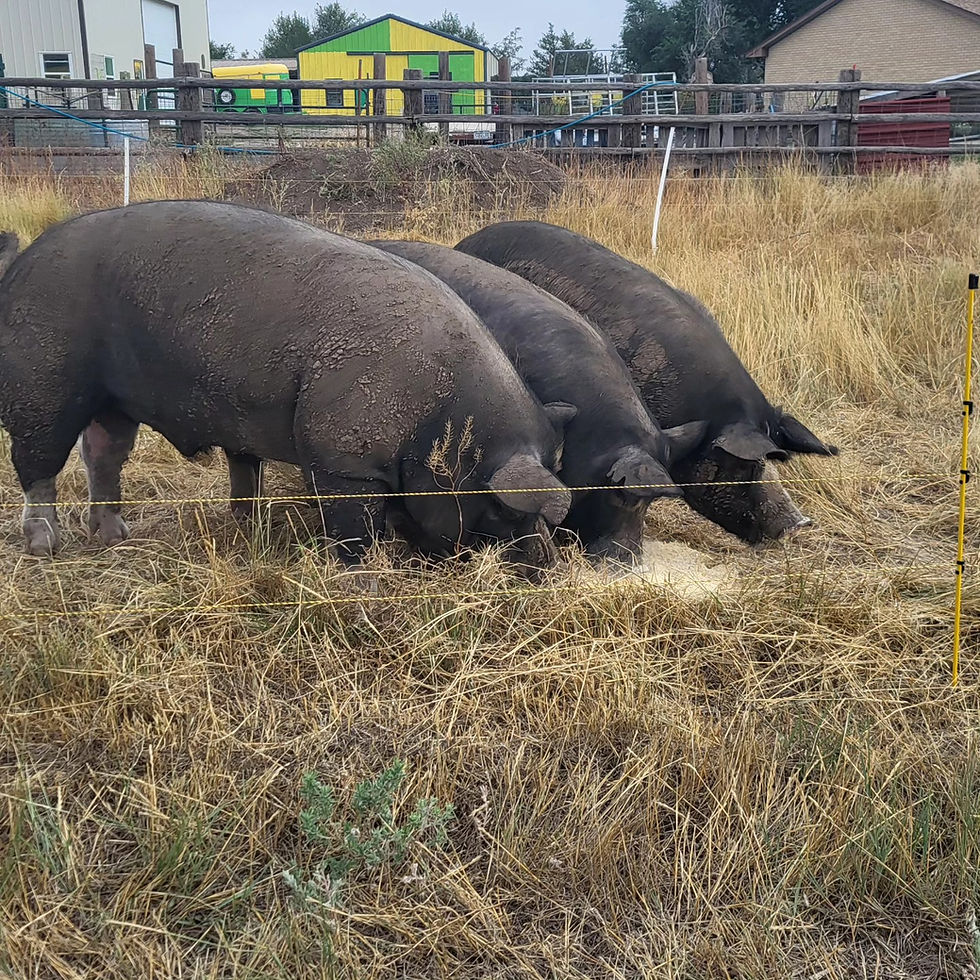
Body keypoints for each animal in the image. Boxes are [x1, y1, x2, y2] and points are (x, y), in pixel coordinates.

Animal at [0, 202, 575, 570]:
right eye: (505, 509)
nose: (546, 565)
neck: (440, 414)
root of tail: (23, 265)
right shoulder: (344, 461)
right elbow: (351, 531)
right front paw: (360, 578)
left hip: (113, 400)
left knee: (103, 454)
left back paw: (115, 537)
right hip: (44, 382)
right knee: (39, 462)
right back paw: (45, 546)